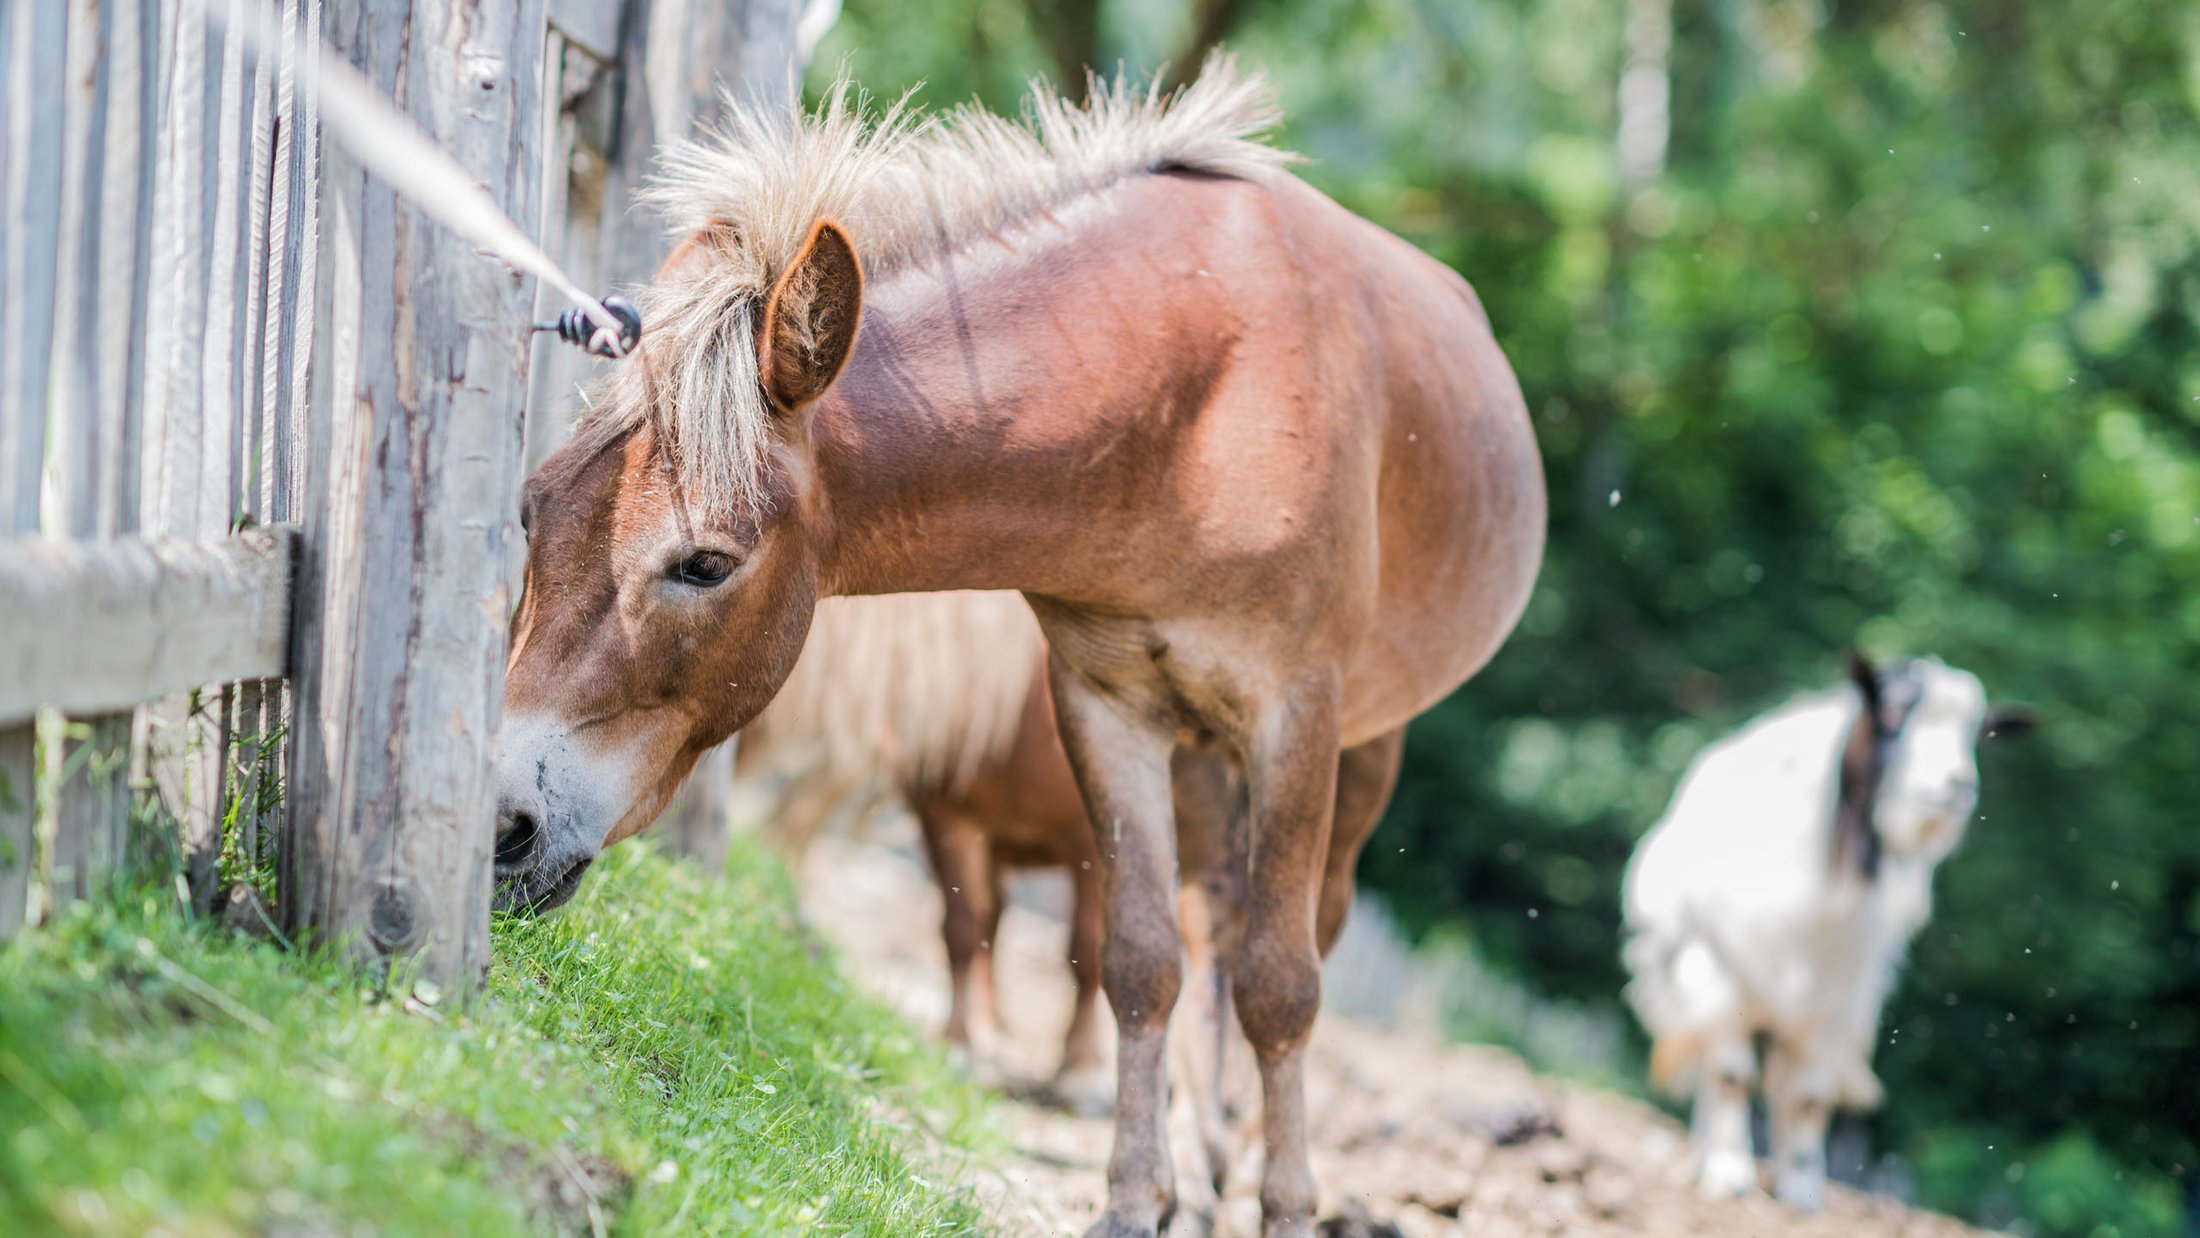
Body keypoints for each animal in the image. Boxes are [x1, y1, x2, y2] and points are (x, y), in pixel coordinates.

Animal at [497, 59, 1545, 1237]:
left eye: (705, 563)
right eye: (532, 509)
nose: (504, 823)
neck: (1190, 400)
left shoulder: (1295, 721)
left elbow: (1281, 987)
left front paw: (1282, 1205)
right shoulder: (1108, 706)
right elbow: (1139, 962)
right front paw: (1135, 1199)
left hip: (1360, 753)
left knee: (1290, 939)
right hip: (1197, 754)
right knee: (1205, 929)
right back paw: (1199, 1164)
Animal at [1621, 653, 2031, 1210]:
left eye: (1980, 733)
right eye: (1892, 715)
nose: (1956, 787)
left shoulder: (1839, 1000)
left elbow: (1810, 1095)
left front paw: (1801, 1189)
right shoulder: (1715, 965)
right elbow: (1730, 1075)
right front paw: (1728, 1175)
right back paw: (1710, 1151)